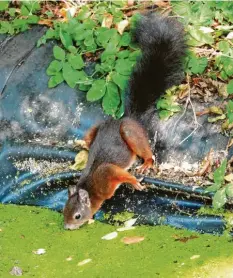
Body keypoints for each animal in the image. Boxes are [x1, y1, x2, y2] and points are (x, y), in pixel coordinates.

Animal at [63, 13, 186, 229]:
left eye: (77, 215)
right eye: (64, 211)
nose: (67, 227)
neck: (91, 188)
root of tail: (131, 116)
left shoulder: (106, 174)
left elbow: (118, 172)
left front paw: (135, 182)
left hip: (130, 132)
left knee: (147, 151)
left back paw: (146, 162)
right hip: (96, 129)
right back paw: (82, 143)